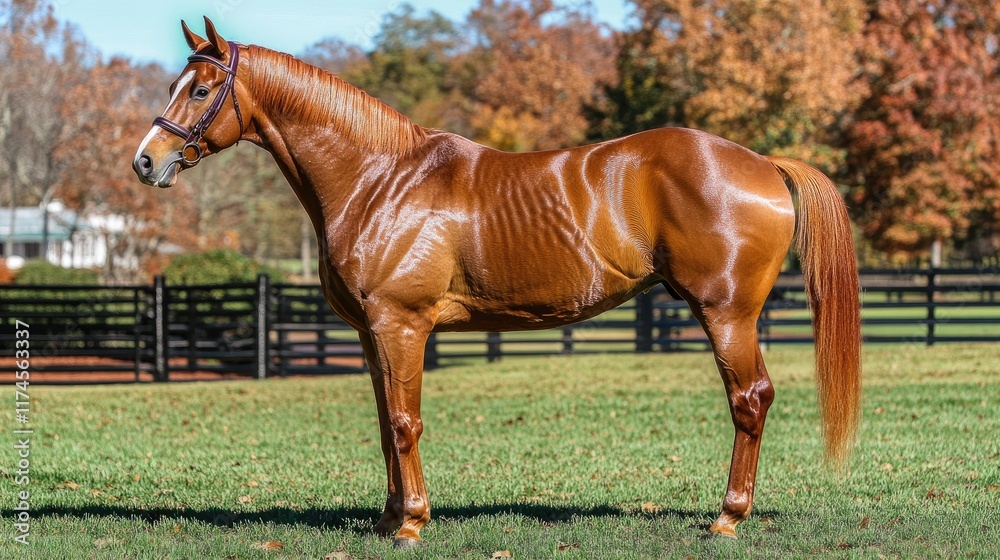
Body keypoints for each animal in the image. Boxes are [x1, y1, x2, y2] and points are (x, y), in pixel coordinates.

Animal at [133, 17, 861, 547]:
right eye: (177, 83)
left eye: (200, 90)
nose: (146, 161)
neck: (379, 179)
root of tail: (763, 162)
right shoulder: (372, 334)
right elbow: (385, 422)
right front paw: (387, 517)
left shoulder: (402, 325)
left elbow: (406, 422)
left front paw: (412, 524)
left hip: (726, 313)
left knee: (750, 400)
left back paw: (728, 517)